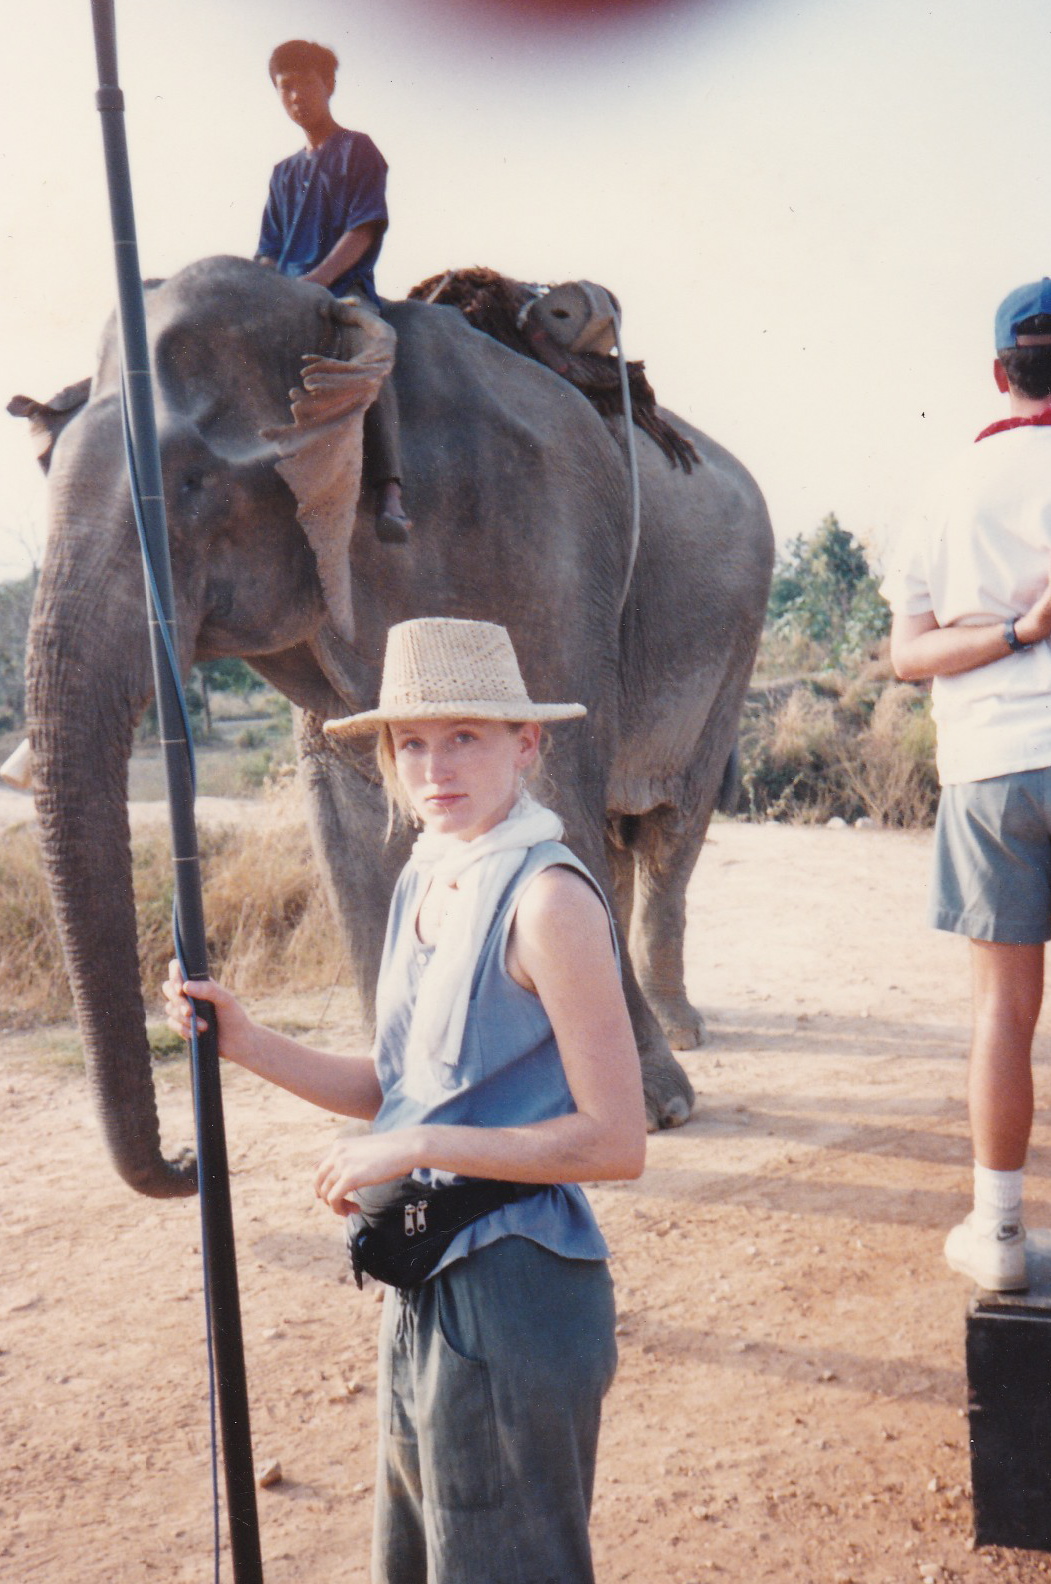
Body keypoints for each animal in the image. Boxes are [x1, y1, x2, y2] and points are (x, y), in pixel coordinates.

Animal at [12, 253, 775, 1191]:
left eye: (190, 487)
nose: (192, 1160)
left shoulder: (527, 528)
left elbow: (551, 773)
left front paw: (645, 1109)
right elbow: (347, 808)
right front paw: (386, 1103)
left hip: (736, 638)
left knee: (669, 826)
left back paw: (681, 1033)